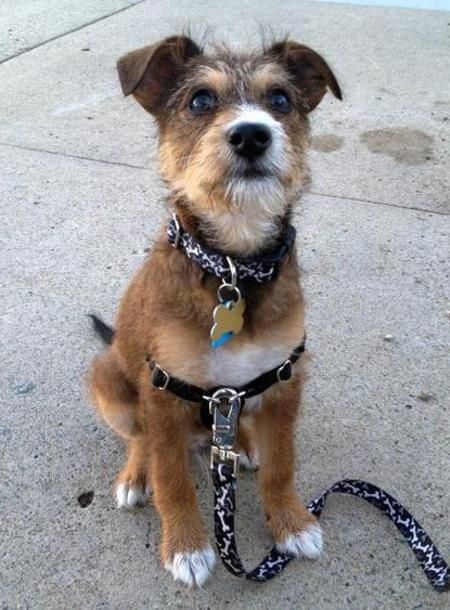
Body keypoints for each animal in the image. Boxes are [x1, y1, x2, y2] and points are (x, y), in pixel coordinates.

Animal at [89, 33, 340, 584]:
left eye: (281, 100)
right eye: (200, 101)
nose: (251, 136)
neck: (232, 270)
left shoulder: (284, 381)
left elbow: (283, 465)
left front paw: (291, 522)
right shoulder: (162, 394)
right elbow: (172, 479)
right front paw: (186, 545)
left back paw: (241, 443)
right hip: (108, 379)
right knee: (138, 440)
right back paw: (135, 475)